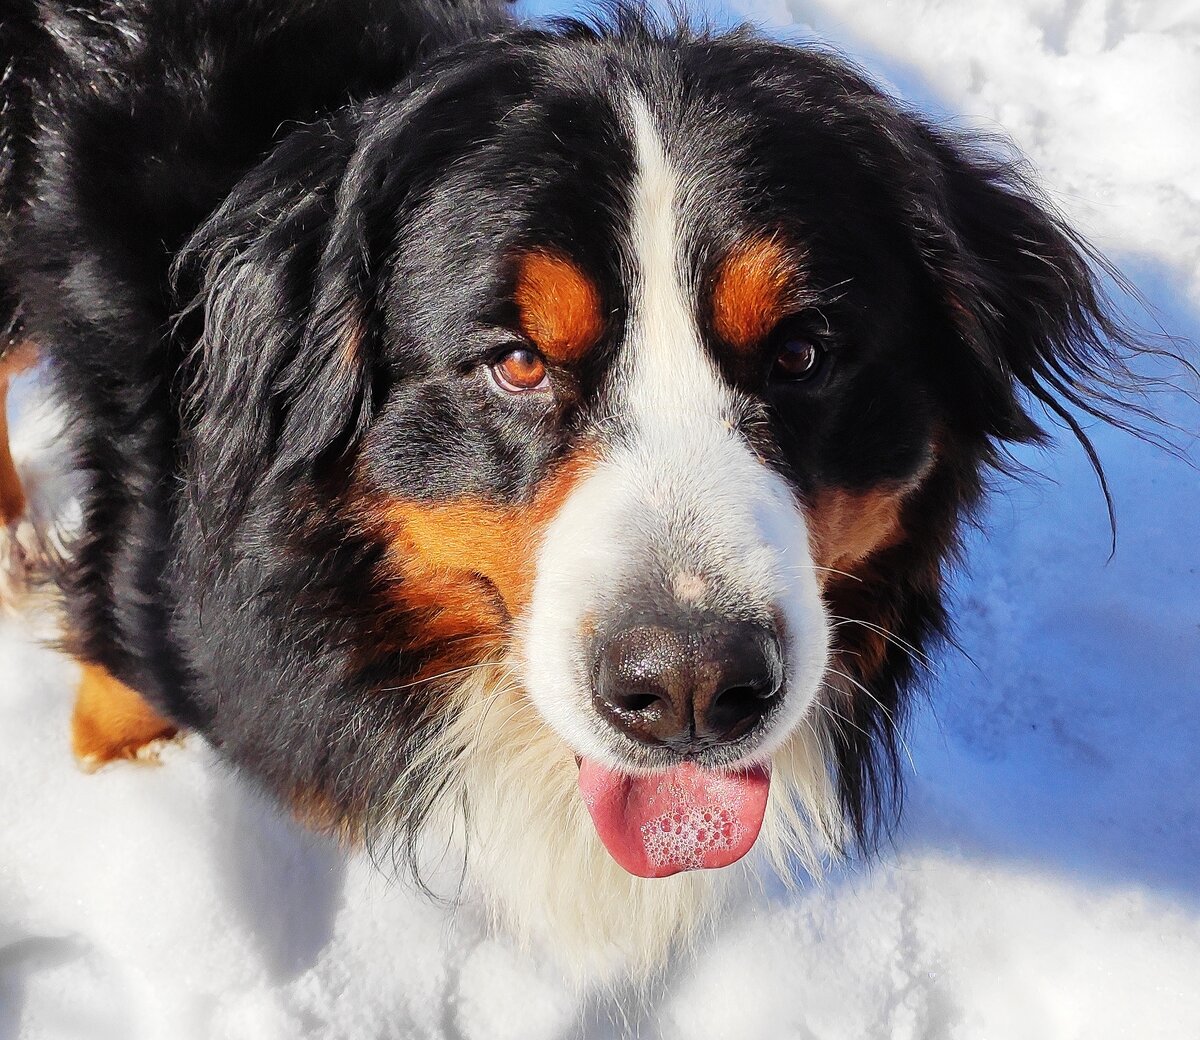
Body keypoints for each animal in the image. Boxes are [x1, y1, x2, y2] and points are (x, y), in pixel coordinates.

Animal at [0, 0, 1161, 974]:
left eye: (803, 353)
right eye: (517, 362)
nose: (691, 687)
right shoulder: (149, 599)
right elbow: (118, 698)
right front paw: (126, 785)